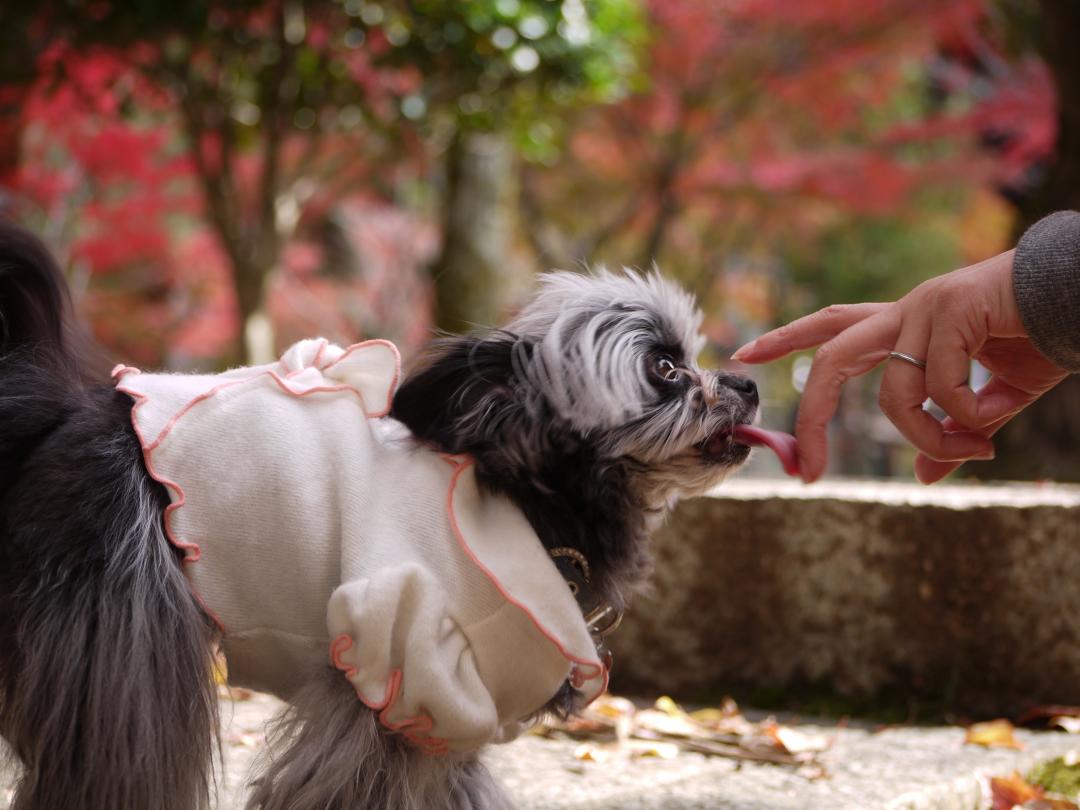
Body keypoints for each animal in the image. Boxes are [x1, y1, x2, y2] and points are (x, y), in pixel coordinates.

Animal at [0, 222, 760, 810]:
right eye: (665, 367)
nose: (749, 383)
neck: (528, 498)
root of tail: (60, 412)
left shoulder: (445, 716)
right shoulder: (403, 678)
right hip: (127, 652)